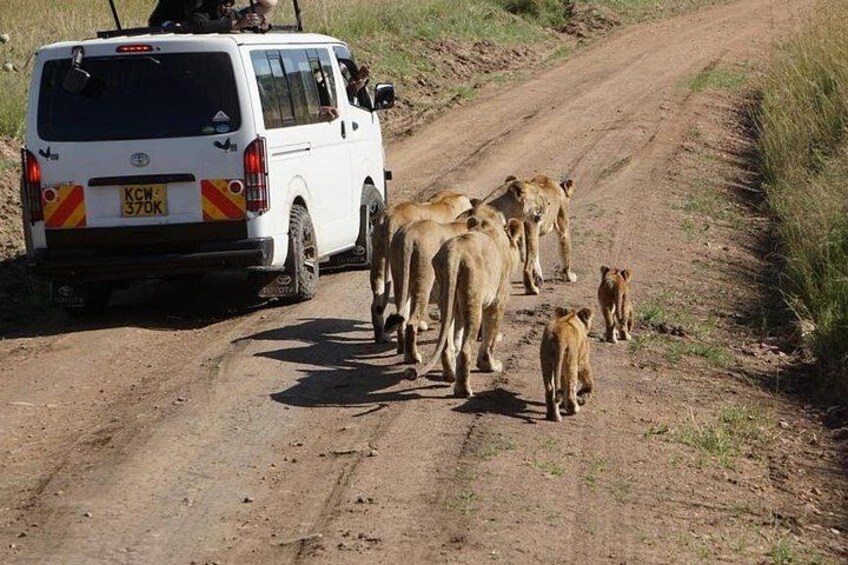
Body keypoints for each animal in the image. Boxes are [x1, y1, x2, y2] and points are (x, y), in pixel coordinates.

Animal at [406, 216, 524, 398]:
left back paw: (450, 374)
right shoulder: (498, 301)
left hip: (446, 294)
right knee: (465, 348)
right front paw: (490, 365)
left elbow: (458, 335)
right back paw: (463, 390)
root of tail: (453, 256)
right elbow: (490, 336)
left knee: (447, 343)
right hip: (473, 299)